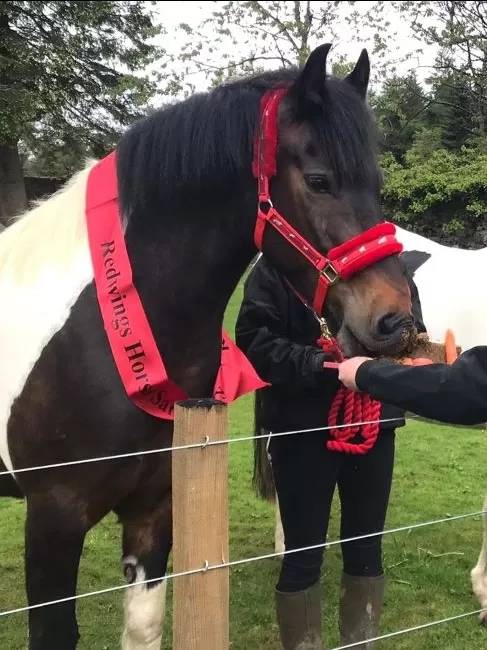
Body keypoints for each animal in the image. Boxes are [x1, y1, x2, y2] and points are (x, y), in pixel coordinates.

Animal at [0, 43, 419, 650]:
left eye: (377, 185)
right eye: (319, 181)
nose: (395, 320)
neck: (96, 338)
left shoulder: (156, 509)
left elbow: (144, 625)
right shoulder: (53, 515)